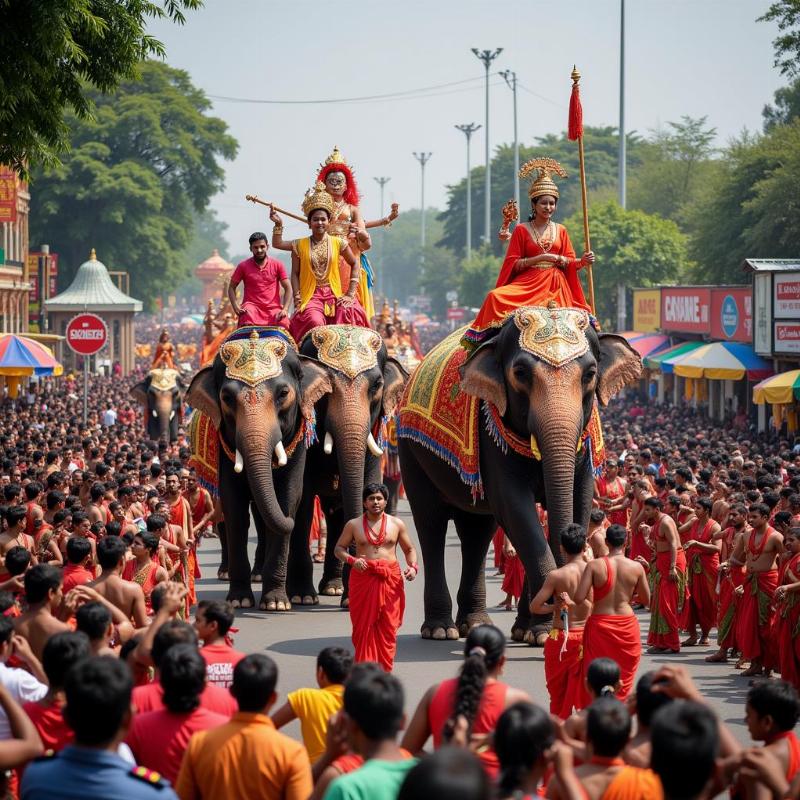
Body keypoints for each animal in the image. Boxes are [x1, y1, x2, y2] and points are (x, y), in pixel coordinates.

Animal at [187, 324, 332, 608]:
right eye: (226, 397)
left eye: (283, 394)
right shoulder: (224, 444)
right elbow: (233, 505)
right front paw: (239, 601)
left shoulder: (298, 440)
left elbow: (287, 496)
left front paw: (276, 603)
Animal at [286, 324, 406, 608]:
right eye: (326, 389)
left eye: (377, 385)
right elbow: (303, 501)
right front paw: (301, 596)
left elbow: (362, 487)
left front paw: (349, 597)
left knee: (335, 511)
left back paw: (332, 587)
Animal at [396, 306, 640, 644]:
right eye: (521, 374)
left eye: (590, 374)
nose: (562, 607)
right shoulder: (491, 431)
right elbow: (515, 507)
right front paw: (543, 630)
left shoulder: (586, 441)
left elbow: (578, 500)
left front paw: (530, 632)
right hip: (410, 450)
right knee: (431, 521)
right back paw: (440, 630)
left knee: (477, 529)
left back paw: (474, 624)